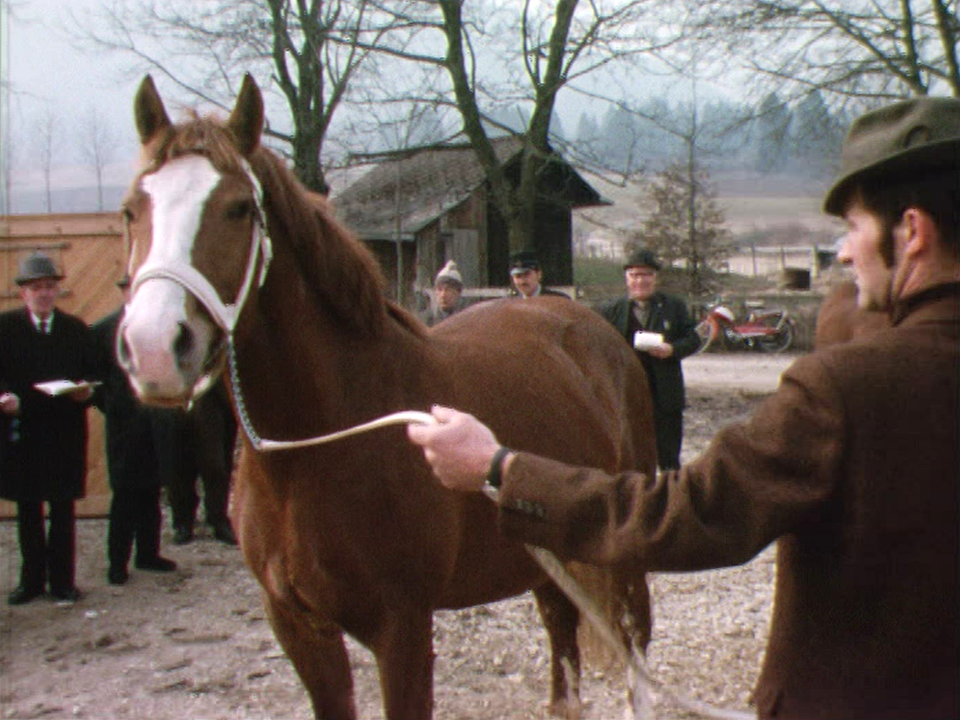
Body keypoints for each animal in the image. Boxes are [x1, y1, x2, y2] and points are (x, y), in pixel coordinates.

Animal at [112, 74, 652, 720]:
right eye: (132, 210)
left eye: (239, 208)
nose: (153, 348)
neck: (319, 443)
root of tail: (592, 326)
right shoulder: (299, 628)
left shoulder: (402, 630)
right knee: (561, 639)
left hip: (622, 550)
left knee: (635, 644)